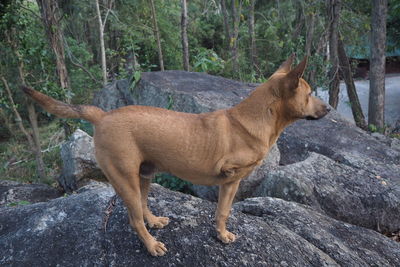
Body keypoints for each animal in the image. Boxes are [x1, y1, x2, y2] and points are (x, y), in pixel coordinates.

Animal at [21, 55, 328, 258]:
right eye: (309, 94)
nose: (327, 109)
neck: (258, 117)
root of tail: (103, 115)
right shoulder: (231, 178)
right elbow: (224, 210)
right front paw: (222, 234)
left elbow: (221, 212)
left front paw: (220, 234)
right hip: (124, 179)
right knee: (134, 219)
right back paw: (151, 245)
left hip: (144, 174)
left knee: (143, 205)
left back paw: (154, 221)